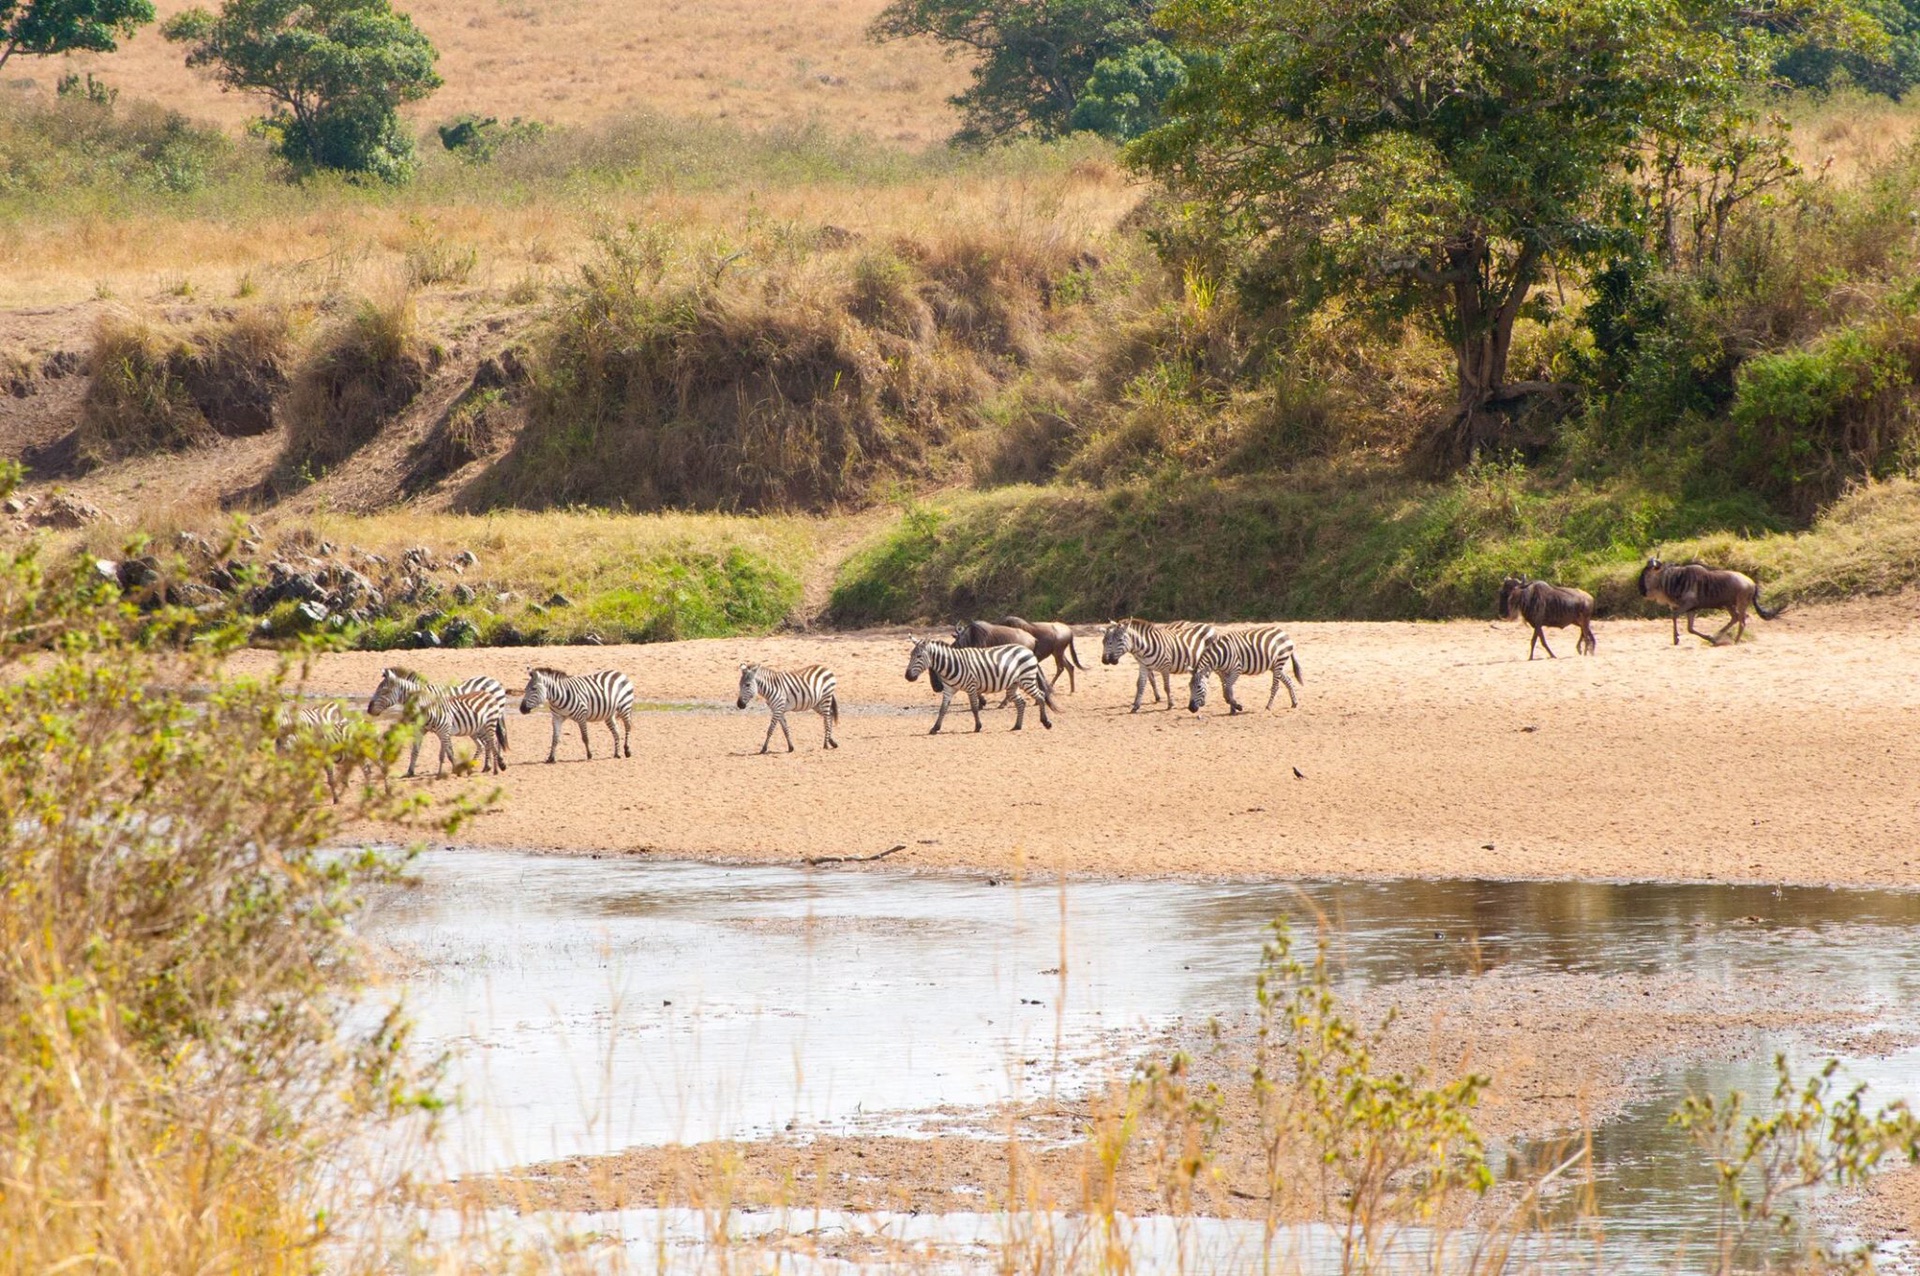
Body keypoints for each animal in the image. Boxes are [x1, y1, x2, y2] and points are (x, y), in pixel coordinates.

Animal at [366, 667, 510, 775]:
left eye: (384, 691)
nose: (368, 709)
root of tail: (493, 680)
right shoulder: (422, 728)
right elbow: (416, 750)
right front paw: (410, 771)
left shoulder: (444, 725)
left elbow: (448, 749)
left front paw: (454, 767)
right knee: (487, 742)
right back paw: (487, 766)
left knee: (493, 739)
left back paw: (497, 764)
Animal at [906, 633, 1059, 732]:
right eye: (911, 656)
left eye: (918, 656)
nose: (907, 677)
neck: (952, 665)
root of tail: (1027, 650)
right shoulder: (949, 690)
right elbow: (942, 709)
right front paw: (935, 728)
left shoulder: (971, 686)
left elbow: (974, 707)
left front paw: (978, 727)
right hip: (1013, 684)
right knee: (1021, 702)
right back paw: (1017, 726)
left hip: (1027, 680)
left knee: (1040, 696)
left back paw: (1046, 722)